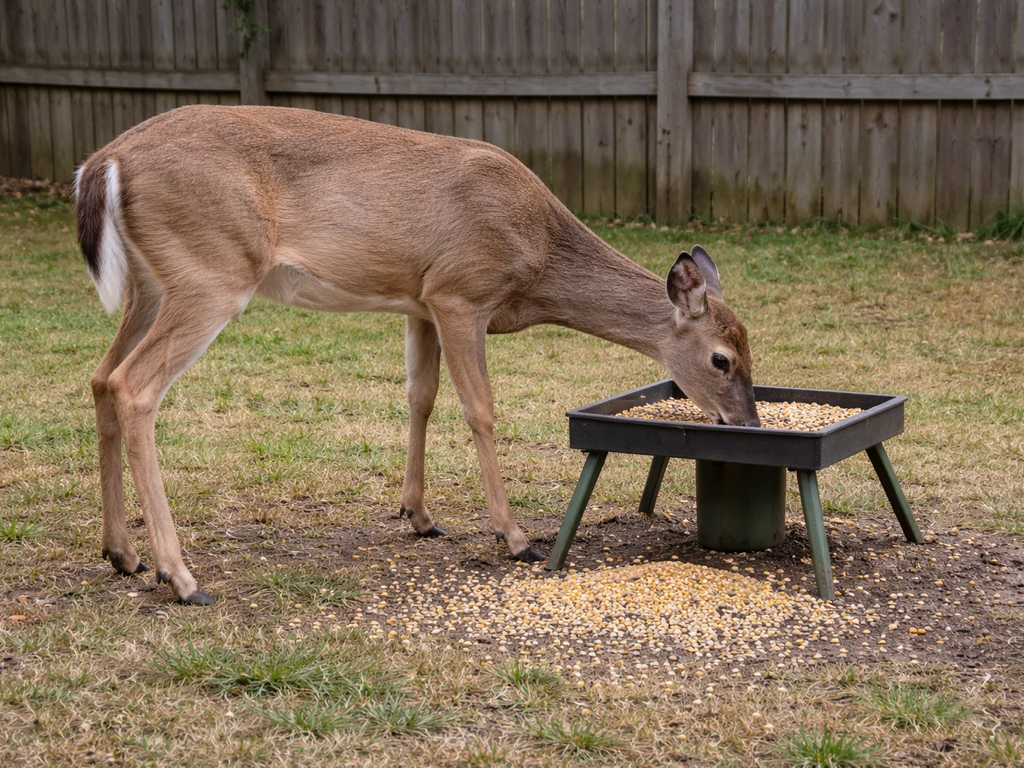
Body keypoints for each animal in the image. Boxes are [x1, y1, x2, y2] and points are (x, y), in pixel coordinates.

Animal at [74, 105, 759, 605]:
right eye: (722, 359)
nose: (747, 423)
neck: (537, 256)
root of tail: (105, 161)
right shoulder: (460, 291)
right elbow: (480, 407)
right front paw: (515, 537)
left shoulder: (420, 302)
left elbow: (420, 397)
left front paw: (419, 514)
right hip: (213, 270)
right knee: (135, 386)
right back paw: (181, 577)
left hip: (151, 283)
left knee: (102, 377)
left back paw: (123, 554)